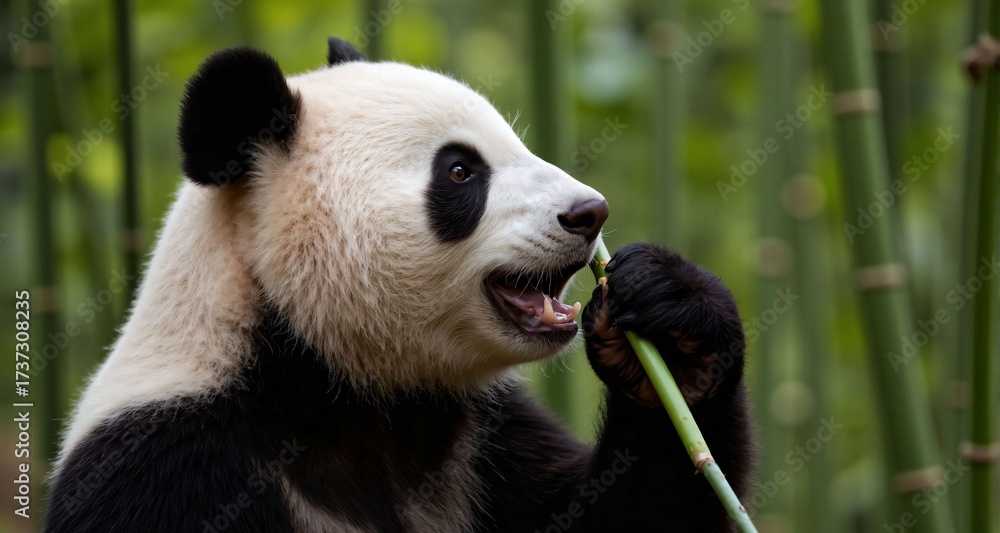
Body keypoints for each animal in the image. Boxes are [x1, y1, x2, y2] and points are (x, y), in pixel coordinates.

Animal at [46, 37, 754, 532]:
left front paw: (674, 330)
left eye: (516, 143)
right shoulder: (167, 463)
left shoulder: (479, 437)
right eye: (461, 171)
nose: (589, 213)